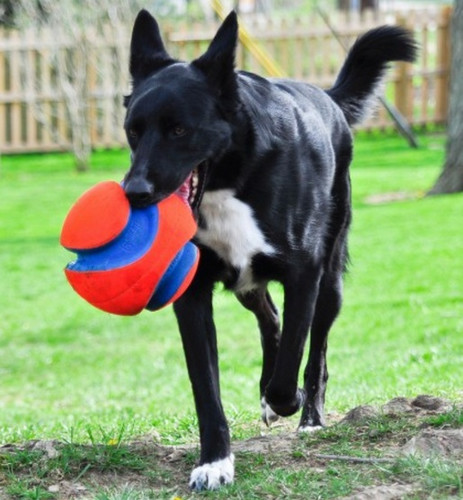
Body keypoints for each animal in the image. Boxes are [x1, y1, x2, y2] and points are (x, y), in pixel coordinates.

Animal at [123, 9, 416, 490]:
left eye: (179, 129)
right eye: (132, 130)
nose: (134, 193)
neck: (231, 178)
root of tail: (328, 98)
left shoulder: (305, 275)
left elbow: (293, 360)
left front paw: (286, 399)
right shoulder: (193, 294)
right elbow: (206, 389)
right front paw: (215, 461)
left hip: (330, 282)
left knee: (316, 353)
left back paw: (309, 415)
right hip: (248, 282)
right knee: (269, 317)